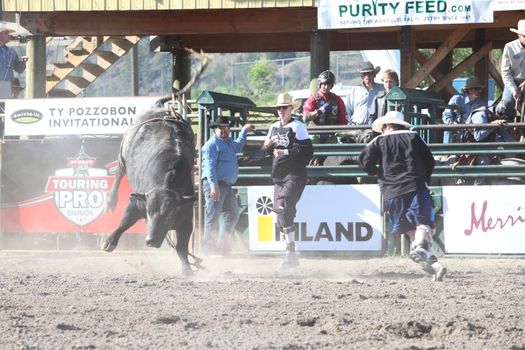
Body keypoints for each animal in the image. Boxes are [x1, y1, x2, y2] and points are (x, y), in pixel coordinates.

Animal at [101, 108, 195, 274]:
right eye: (149, 211)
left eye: (170, 213)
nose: (150, 241)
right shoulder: (137, 202)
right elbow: (125, 221)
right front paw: (109, 242)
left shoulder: (186, 220)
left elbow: (181, 248)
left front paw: (187, 269)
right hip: (123, 156)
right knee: (118, 173)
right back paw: (110, 202)